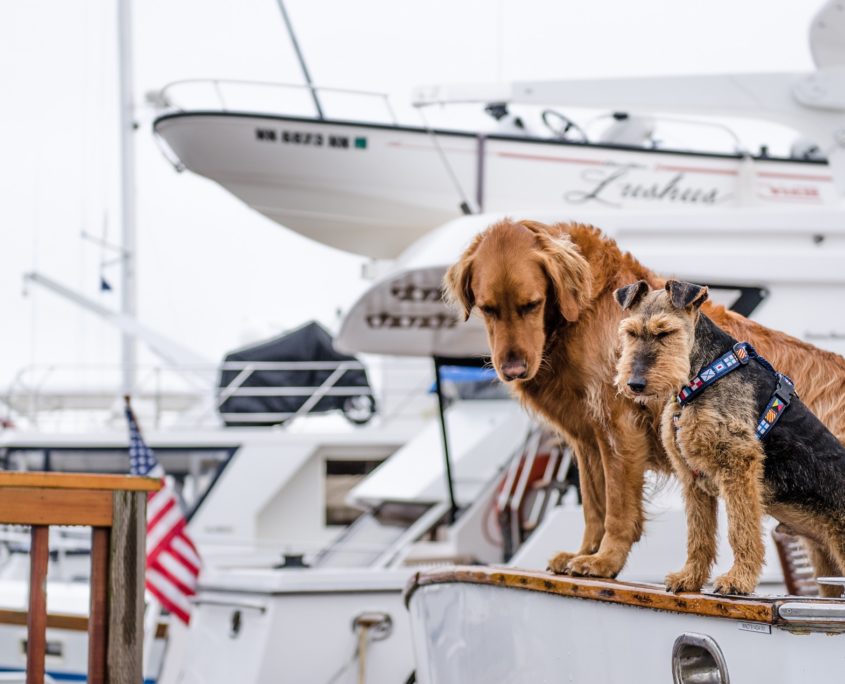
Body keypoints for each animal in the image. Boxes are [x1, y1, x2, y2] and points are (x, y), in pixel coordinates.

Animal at [448, 218, 845, 584]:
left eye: (532, 304)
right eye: (487, 309)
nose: (513, 369)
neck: (586, 309)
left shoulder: (620, 428)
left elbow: (618, 509)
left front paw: (604, 560)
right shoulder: (587, 438)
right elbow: (594, 506)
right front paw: (583, 553)